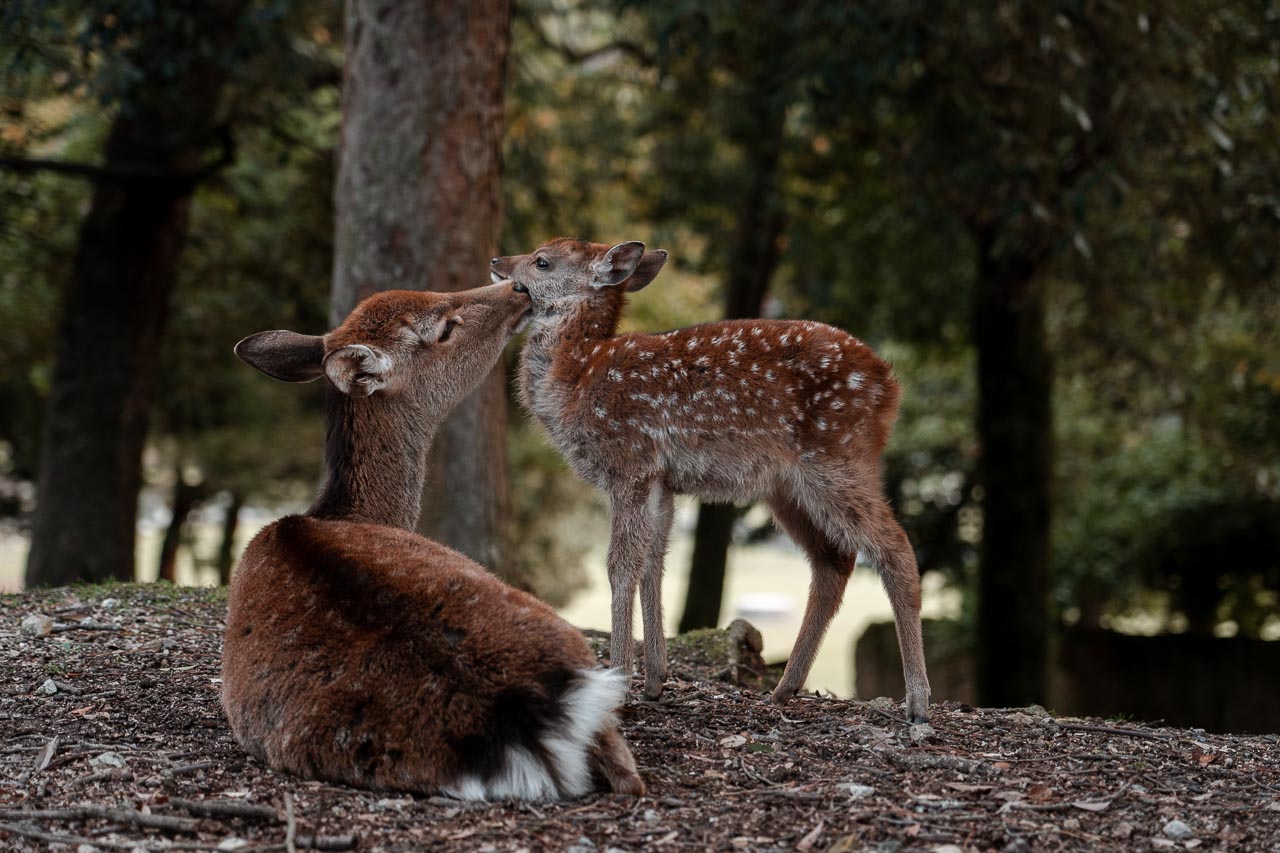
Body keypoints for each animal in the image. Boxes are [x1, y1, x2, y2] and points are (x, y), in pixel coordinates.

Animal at [221, 284, 645, 799]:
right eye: (443, 328)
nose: (517, 288)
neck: (348, 512)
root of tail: (516, 713)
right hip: (574, 641)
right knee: (630, 776)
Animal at [491, 236, 931, 717]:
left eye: (542, 261)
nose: (497, 261)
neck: (575, 380)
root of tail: (891, 387)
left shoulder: (630, 462)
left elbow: (621, 565)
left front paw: (619, 682)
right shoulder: (662, 481)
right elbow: (654, 562)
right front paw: (655, 680)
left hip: (834, 459)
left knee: (894, 548)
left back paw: (917, 700)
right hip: (787, 486)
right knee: (834, 561)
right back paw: (784, 688)